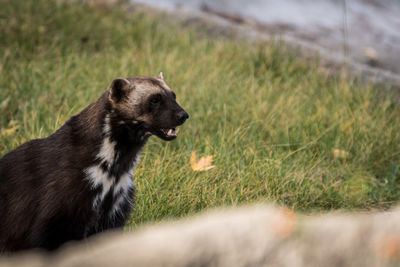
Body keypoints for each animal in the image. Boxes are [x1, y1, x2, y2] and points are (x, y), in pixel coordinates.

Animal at [0, 73, 189, 253]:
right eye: (154, 99)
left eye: (173, 95)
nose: (183, 115)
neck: (113, 171)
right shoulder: (59, 211)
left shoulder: (114, 211)